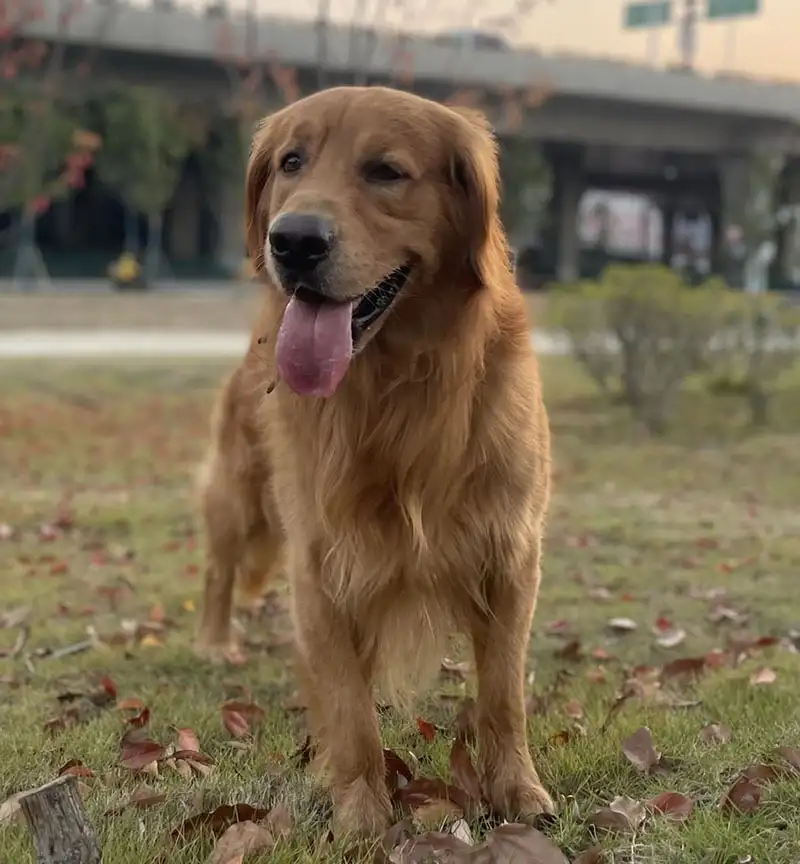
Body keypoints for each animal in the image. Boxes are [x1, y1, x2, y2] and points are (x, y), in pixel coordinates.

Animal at [197, 88, 552, 836]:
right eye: (291, 162)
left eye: (386, 171)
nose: (294, 241)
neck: (396, 387)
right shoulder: (320, 565)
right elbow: (351, 710)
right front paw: (362, 811)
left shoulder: (510, 555)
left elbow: (504, 695)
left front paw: (516, 790)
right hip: (238, 495)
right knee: (219, 569)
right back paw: (214, 640)